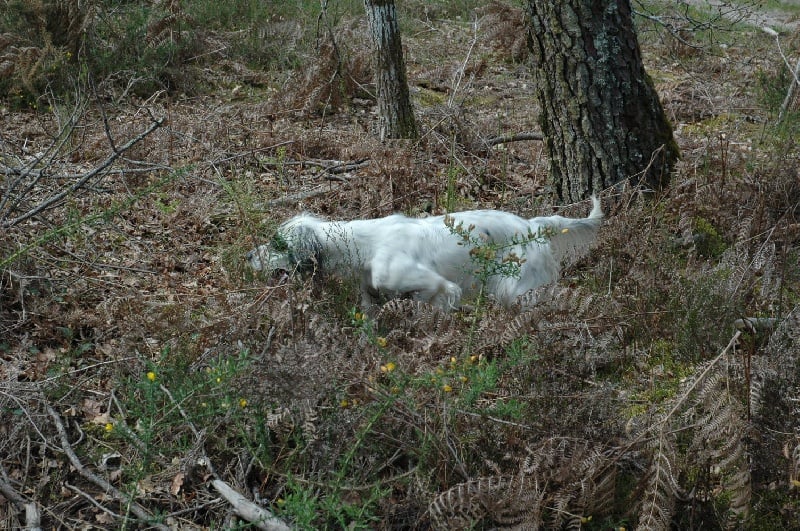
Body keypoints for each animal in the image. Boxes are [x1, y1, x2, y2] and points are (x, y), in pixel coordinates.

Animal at [247, 198, 604, 312]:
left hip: (516, 290)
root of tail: (533, 225)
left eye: (278, 244)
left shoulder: (440, 288)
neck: (365, 246)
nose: (249, 255)